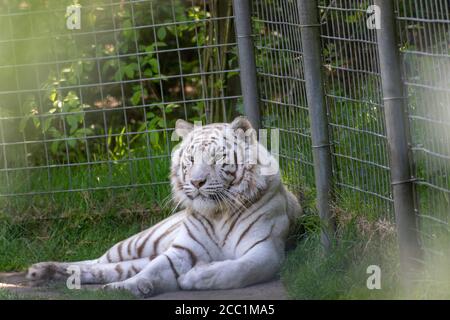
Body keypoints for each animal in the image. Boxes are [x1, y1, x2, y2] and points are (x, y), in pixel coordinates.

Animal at [28, 117, 302, 298]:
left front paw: (193, 278)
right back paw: (40, 271)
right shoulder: (183, 250)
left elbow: (237, 269)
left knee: (106, 268)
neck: (218, 214)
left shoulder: (265, 250)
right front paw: (124, 288)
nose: (196, 182)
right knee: (97, 260)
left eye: (216, 158)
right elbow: (155, 270)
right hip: (136, 243)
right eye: (190, 159)